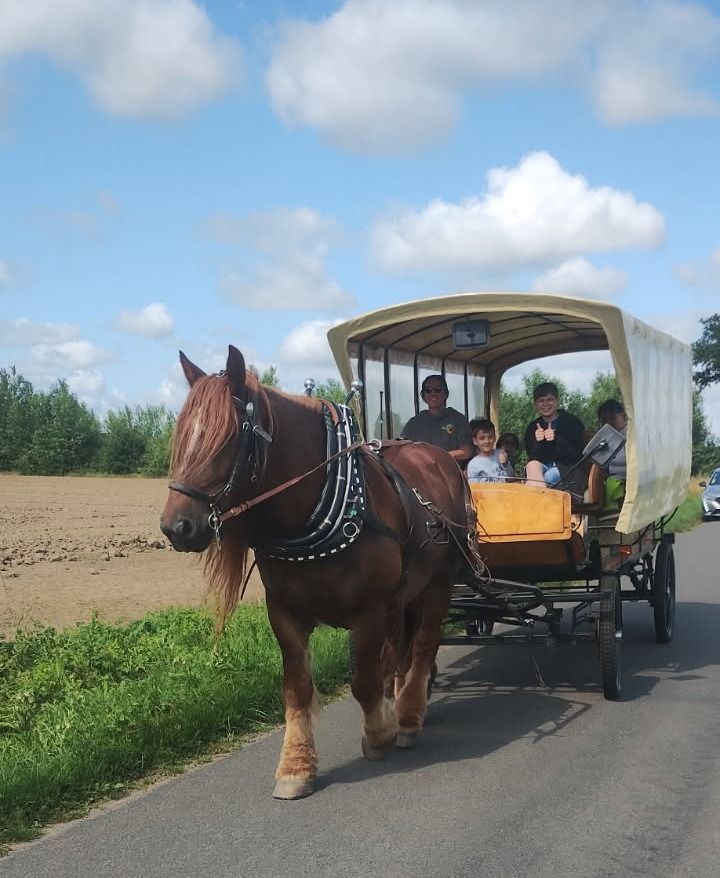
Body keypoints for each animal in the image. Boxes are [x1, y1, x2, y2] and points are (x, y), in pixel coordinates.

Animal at [160, 345, 479, 799]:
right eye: (184, 435)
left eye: (229, 438)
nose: (176, 527)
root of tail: (436, 457)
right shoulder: (284, 613)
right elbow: (297, 689)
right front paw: (295, 767)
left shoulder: (369, 611)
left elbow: (364, 680)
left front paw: (379, 733)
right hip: (405, 594)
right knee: (401, 649)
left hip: (438, 584)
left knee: (423, 645)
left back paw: (409, 715)